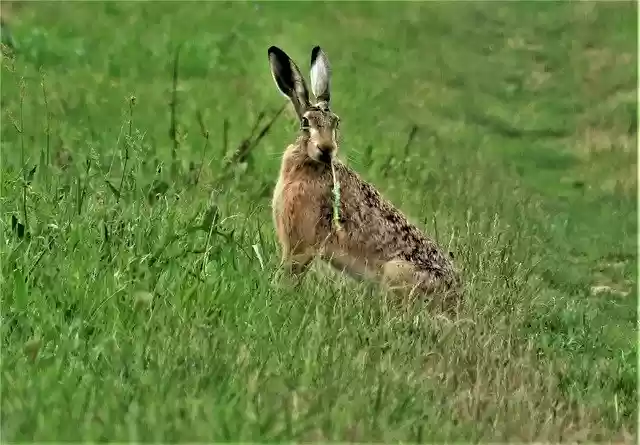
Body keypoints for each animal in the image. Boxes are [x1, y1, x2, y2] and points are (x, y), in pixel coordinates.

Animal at [267, 45, 462, 311]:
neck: (311, 163)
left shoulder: (302, 244)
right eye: (306, 122)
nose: (326, 149)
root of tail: (457, 299)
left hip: (395, 272)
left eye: (336, 123)